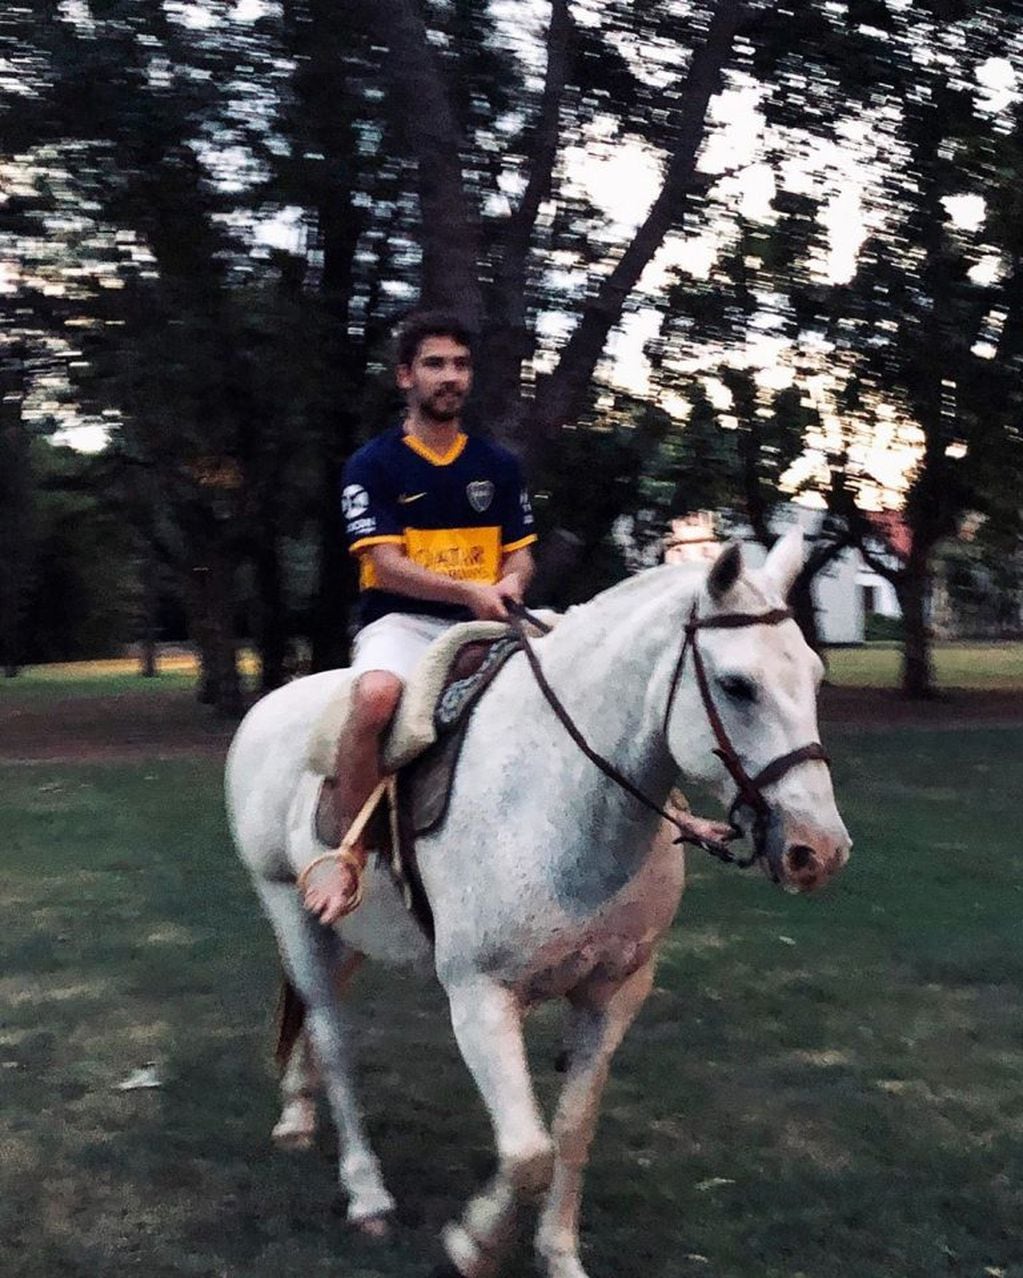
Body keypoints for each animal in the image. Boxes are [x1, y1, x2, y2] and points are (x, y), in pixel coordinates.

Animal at [227, 534, 849, 1278]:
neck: (562, 796)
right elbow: (527, 1153)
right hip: (290, 910)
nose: (818, 850)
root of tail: (267, 708)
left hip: (346, 933)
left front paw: (556, 1255)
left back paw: (296, 1117)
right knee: (333, 1037)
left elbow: (570, 1132)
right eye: (736, 685)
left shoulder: (614, 993)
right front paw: (471, 1245)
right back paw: (366, 1192)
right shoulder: (479, 996)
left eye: (813, 677)